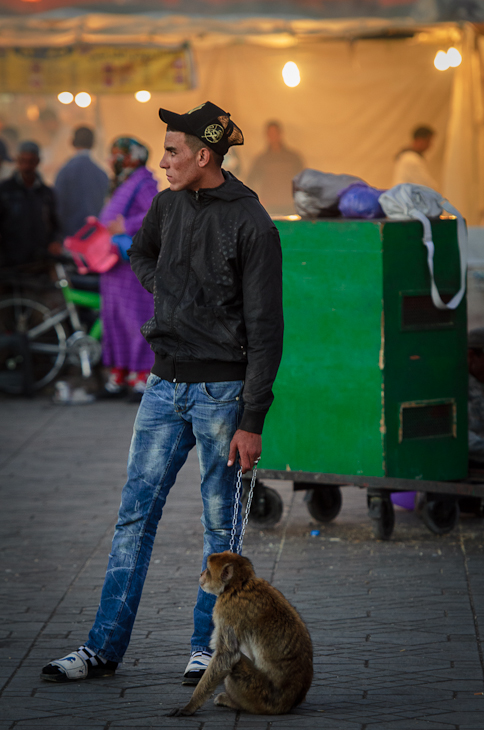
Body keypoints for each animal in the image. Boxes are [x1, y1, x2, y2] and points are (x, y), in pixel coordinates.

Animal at [168, 552, 312, 712]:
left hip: (259, 694)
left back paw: (233, 703)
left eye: (208, 570)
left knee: (235, 663)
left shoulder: (226, 609)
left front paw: (190, 705)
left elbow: (226, 655)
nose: (201, 574)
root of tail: (289, 703)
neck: (238, 584)